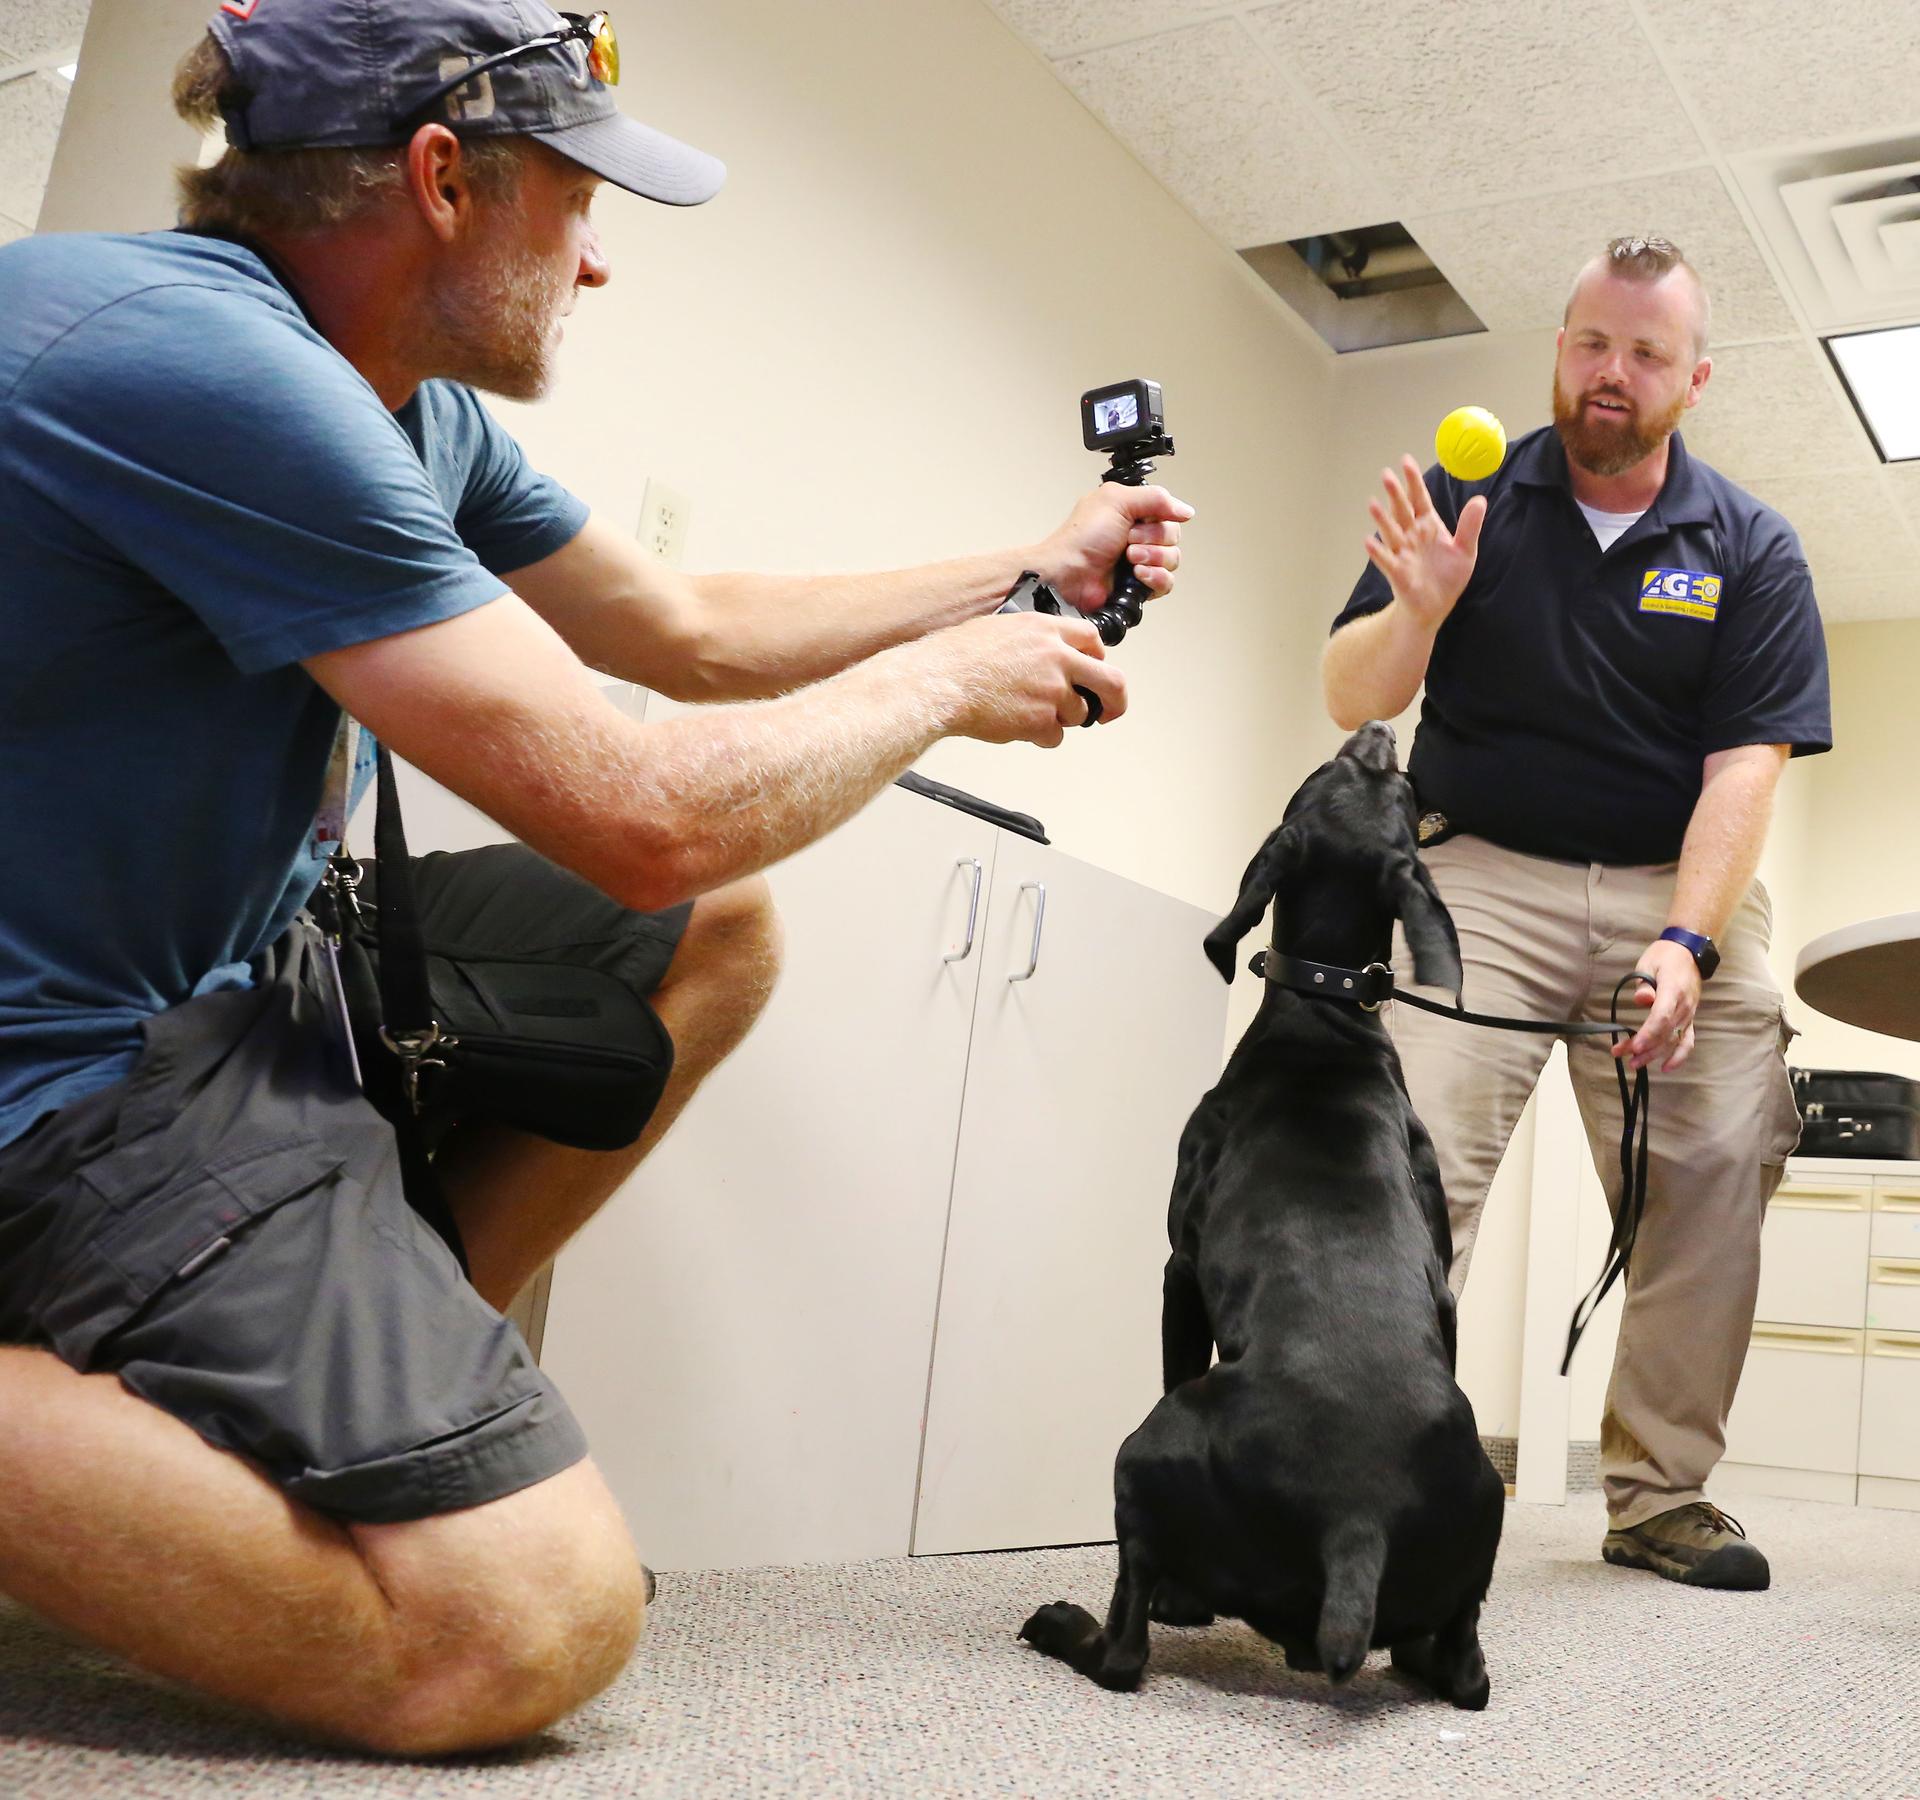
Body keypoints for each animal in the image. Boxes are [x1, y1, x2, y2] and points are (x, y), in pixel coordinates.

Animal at [1021, 713, 1497, 1696]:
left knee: (1126, 1650)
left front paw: (1176, 1601)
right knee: (1466, 1674)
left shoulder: (1177, 1268)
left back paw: (1072, 1625)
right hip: (1487, 1508)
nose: (1380, 728)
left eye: (1323, 773)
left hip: (1143, 1451)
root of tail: (1358, 1526)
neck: (1325, 1022)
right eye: (1387, 789)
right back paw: (1431, 1658)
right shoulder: (1446, 1288)